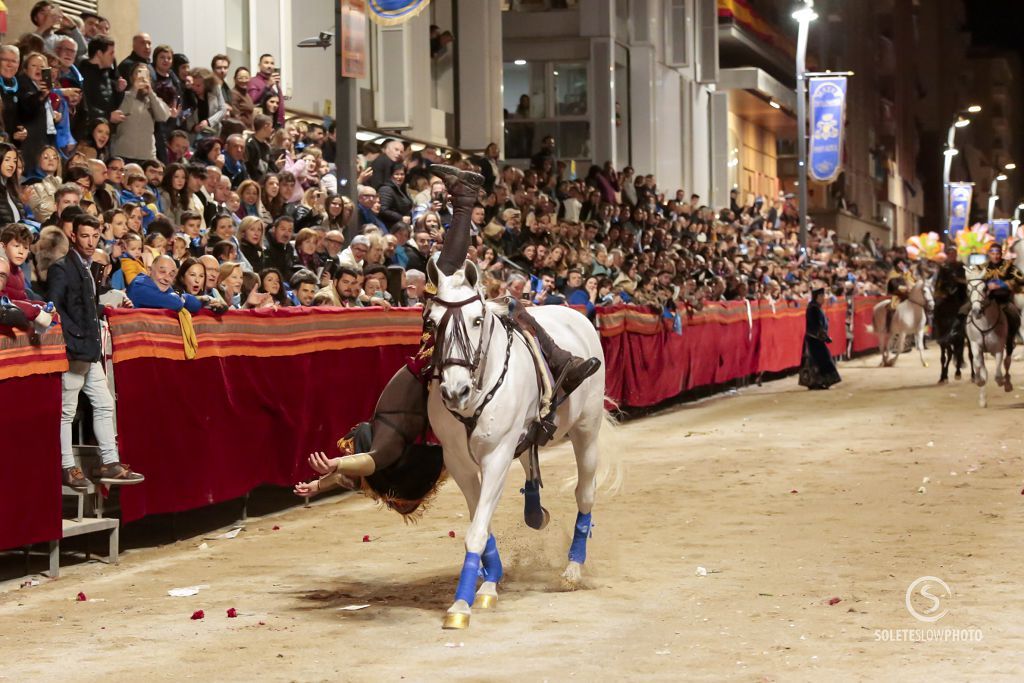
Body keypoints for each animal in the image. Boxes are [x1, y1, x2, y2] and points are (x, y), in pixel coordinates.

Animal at [421, 260, 602, 630]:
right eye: (431, 322)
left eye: (477, 320)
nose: (455, 391)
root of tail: (574, 312)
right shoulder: (458, 462)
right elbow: (480, 521)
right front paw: (489, 581)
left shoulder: (496, 455)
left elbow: (477, 530)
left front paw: (460, 606)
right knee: (531, 466)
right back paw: (535, 513)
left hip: (587, 431)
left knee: (585, 494)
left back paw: (573, 569)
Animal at [962, 266, 1011, 405]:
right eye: (968, 290)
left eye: (984, 288)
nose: (976, 312)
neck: (984, 323)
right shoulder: (975, 345)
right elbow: (978, 365)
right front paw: (979, 380)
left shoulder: (998, 348)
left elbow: (998, 372)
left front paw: (1001, 382)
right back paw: (983, 399)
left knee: (1007, 361)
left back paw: (1007, 384)